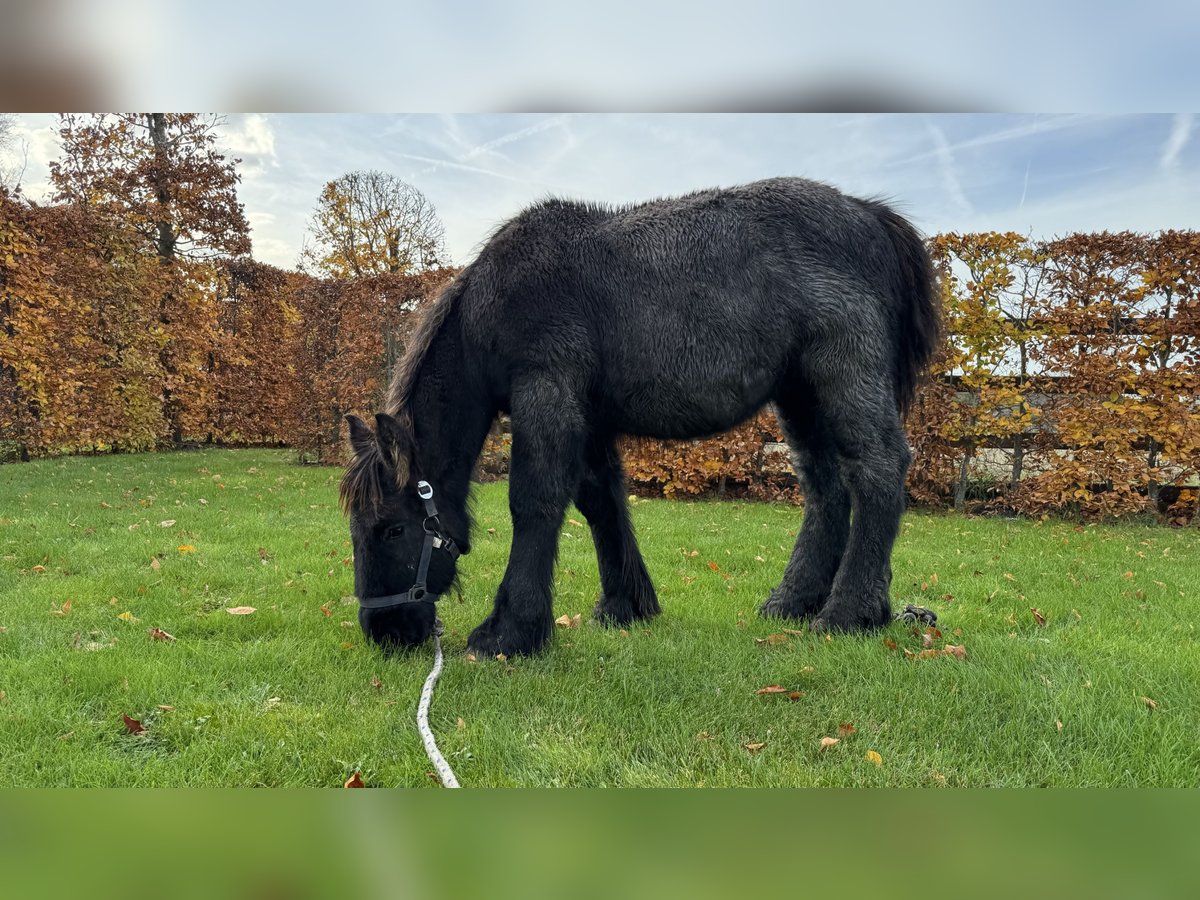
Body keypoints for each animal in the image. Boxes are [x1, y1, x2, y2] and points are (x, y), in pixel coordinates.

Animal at [336, 177, 936, 657]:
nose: (385, 632)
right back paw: (796, 601)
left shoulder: (547, 392)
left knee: (878, 468)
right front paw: (626, 604)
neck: (490, 304)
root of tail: (869, 214)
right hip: (801, 396)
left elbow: (535, 501)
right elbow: (599, 500)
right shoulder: (589, 417)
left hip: (843, 376)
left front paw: (510, 631)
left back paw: (848, 613)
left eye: (391, 528)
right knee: (825, 487)